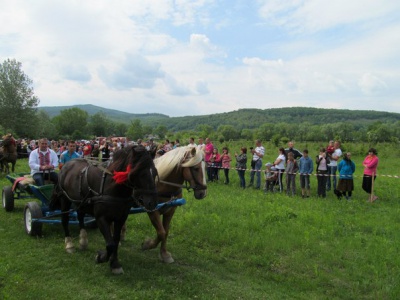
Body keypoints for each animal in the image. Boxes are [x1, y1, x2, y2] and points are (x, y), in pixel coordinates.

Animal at [51, 145, 159, 274]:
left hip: (81, 202)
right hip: (64, 199)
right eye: (138, 173)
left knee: (80, 216)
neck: (110, 185)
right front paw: (101, 257)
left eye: (155, 172)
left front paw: (114, 264)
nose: (152, 202)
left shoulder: (121, 218)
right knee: (65, 219)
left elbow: (115, 240)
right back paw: (69, 244)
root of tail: (65, 165)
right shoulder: (101, 218)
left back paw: (83, 241)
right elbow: (110, 244)